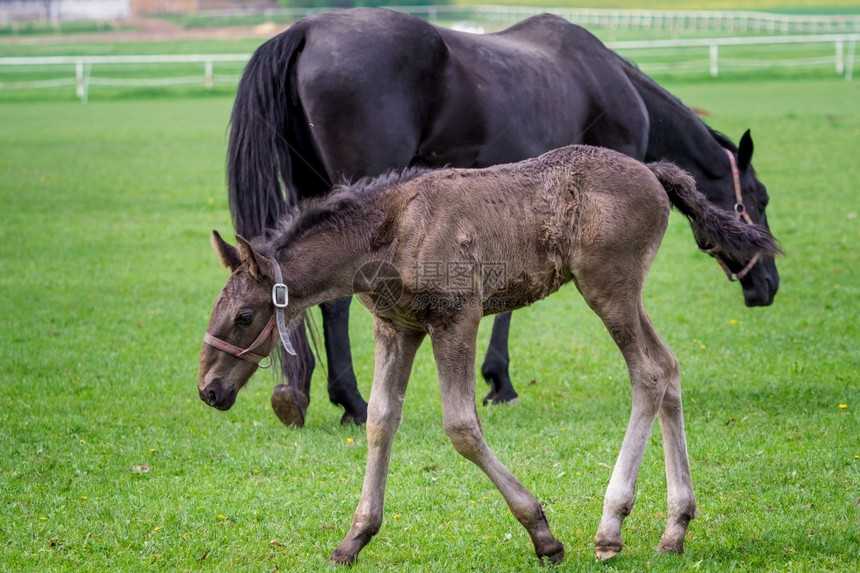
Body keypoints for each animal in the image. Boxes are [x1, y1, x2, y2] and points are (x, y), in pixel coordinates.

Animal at [227, 6, 780, 422]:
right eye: (760, 198)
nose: (768, 286)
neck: (608, 82)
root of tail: (305, 30)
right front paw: (501, 381)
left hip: (314, 191)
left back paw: (299, 395)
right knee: (335, 301)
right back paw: (353, 402)